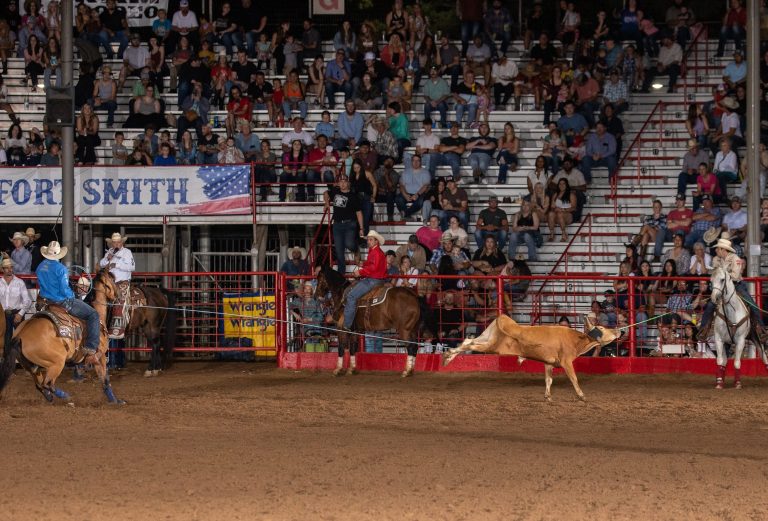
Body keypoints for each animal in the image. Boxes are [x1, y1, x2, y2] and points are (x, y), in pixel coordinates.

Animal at [0, 270, 123, 404]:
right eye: (112, 279)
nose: (119, 295)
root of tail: (20, 336)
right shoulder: (100, 356)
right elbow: (105, 379)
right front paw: (115, 400)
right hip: (57, 362)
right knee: (47, 383)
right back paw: (65, 396)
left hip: (32, 366)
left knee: (40, 384)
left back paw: (50, 397)